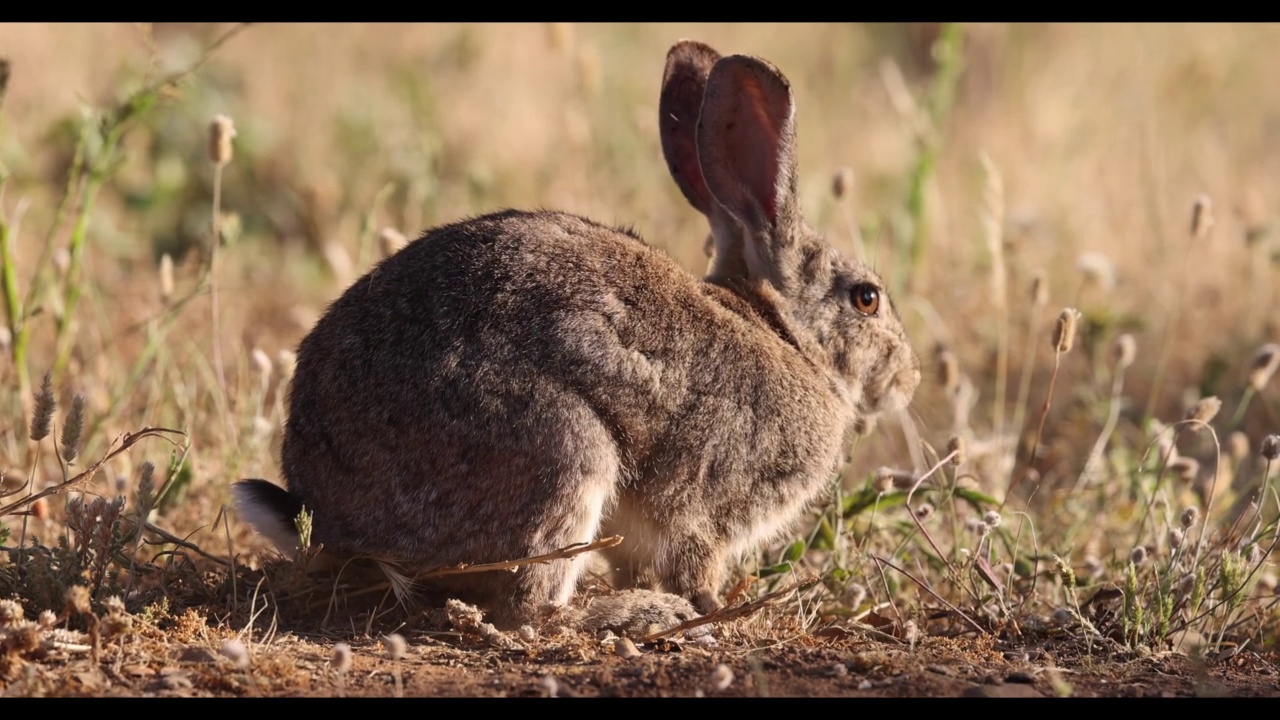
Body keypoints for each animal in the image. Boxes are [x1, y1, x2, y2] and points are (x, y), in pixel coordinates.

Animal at [235, 40, 921, 627]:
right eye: (866, 298)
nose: (909, 381)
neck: (786, 333)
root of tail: (331, 522)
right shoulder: (708, 508)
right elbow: (696, 565)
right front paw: (711, 609)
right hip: (564, 451)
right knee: (529, 608)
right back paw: (635, 614)